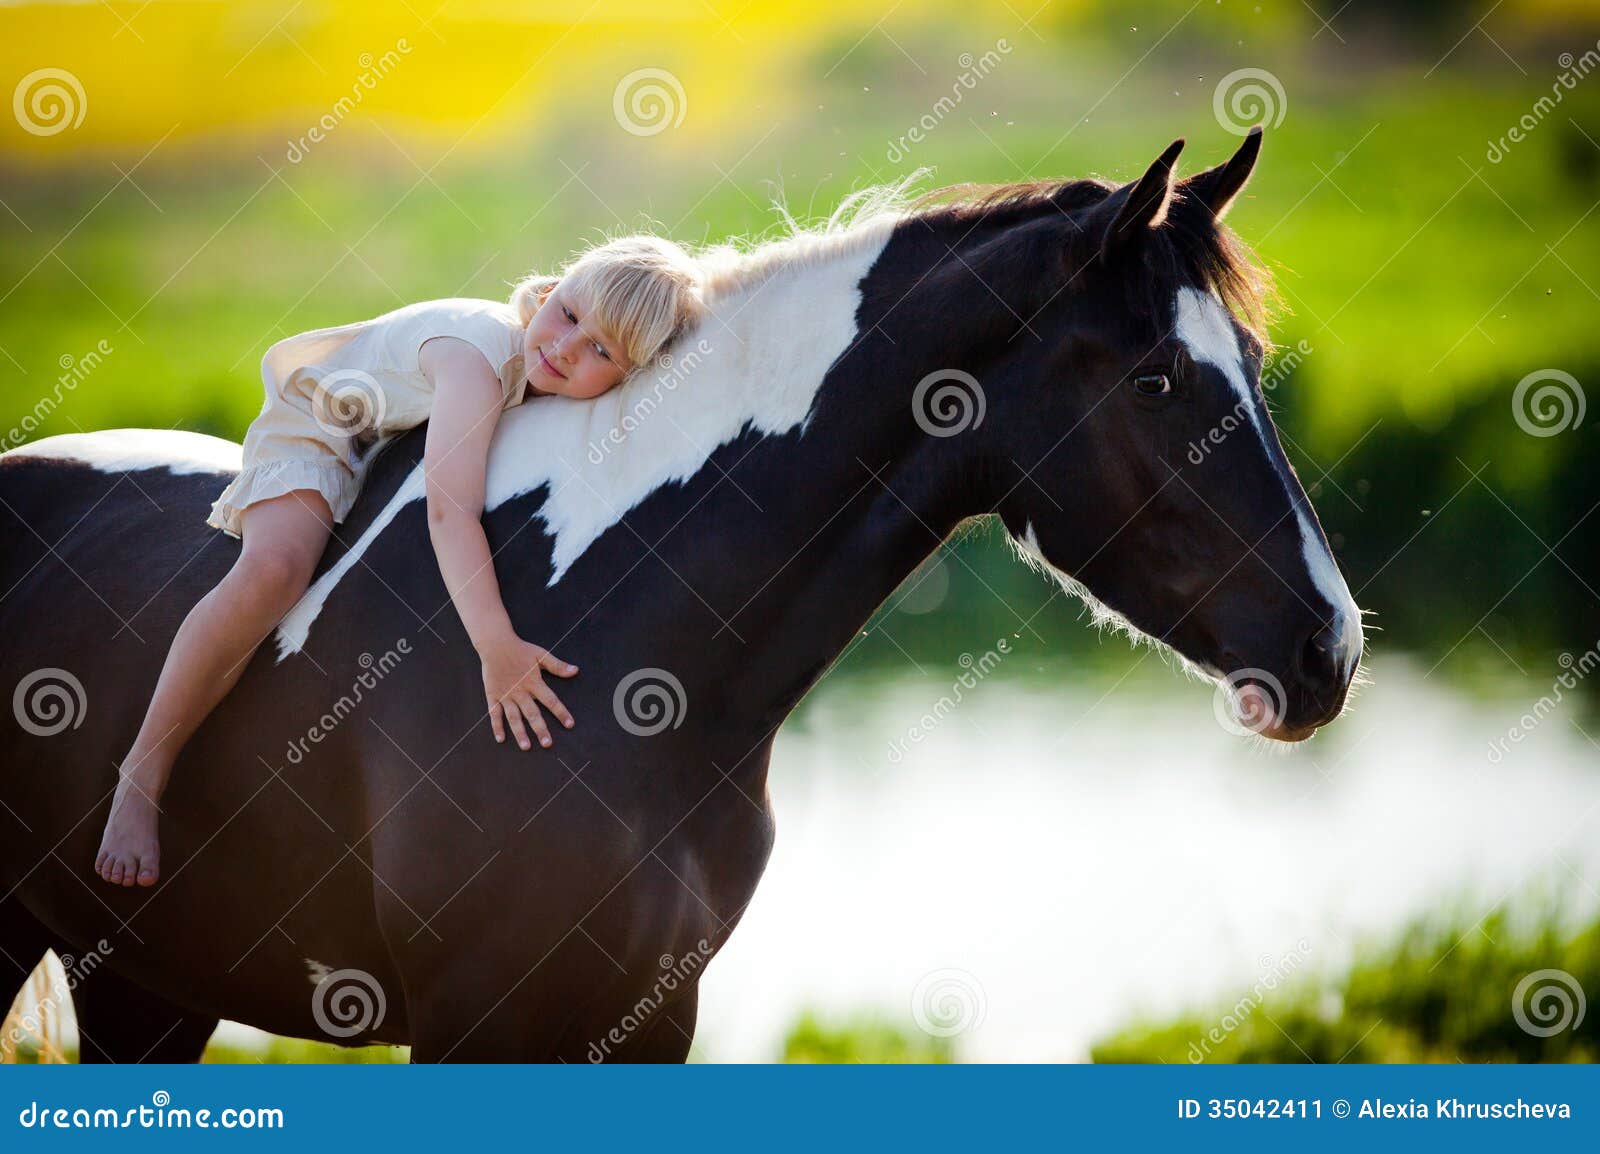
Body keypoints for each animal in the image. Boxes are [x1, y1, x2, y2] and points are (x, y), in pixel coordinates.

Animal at [0, 128, 1363, 1062]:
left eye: (1249, 361)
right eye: (1154, 381)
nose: (1327, 648)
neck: (623, 652)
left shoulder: (649, 1018)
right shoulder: (468, 1020)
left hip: (147, 981)